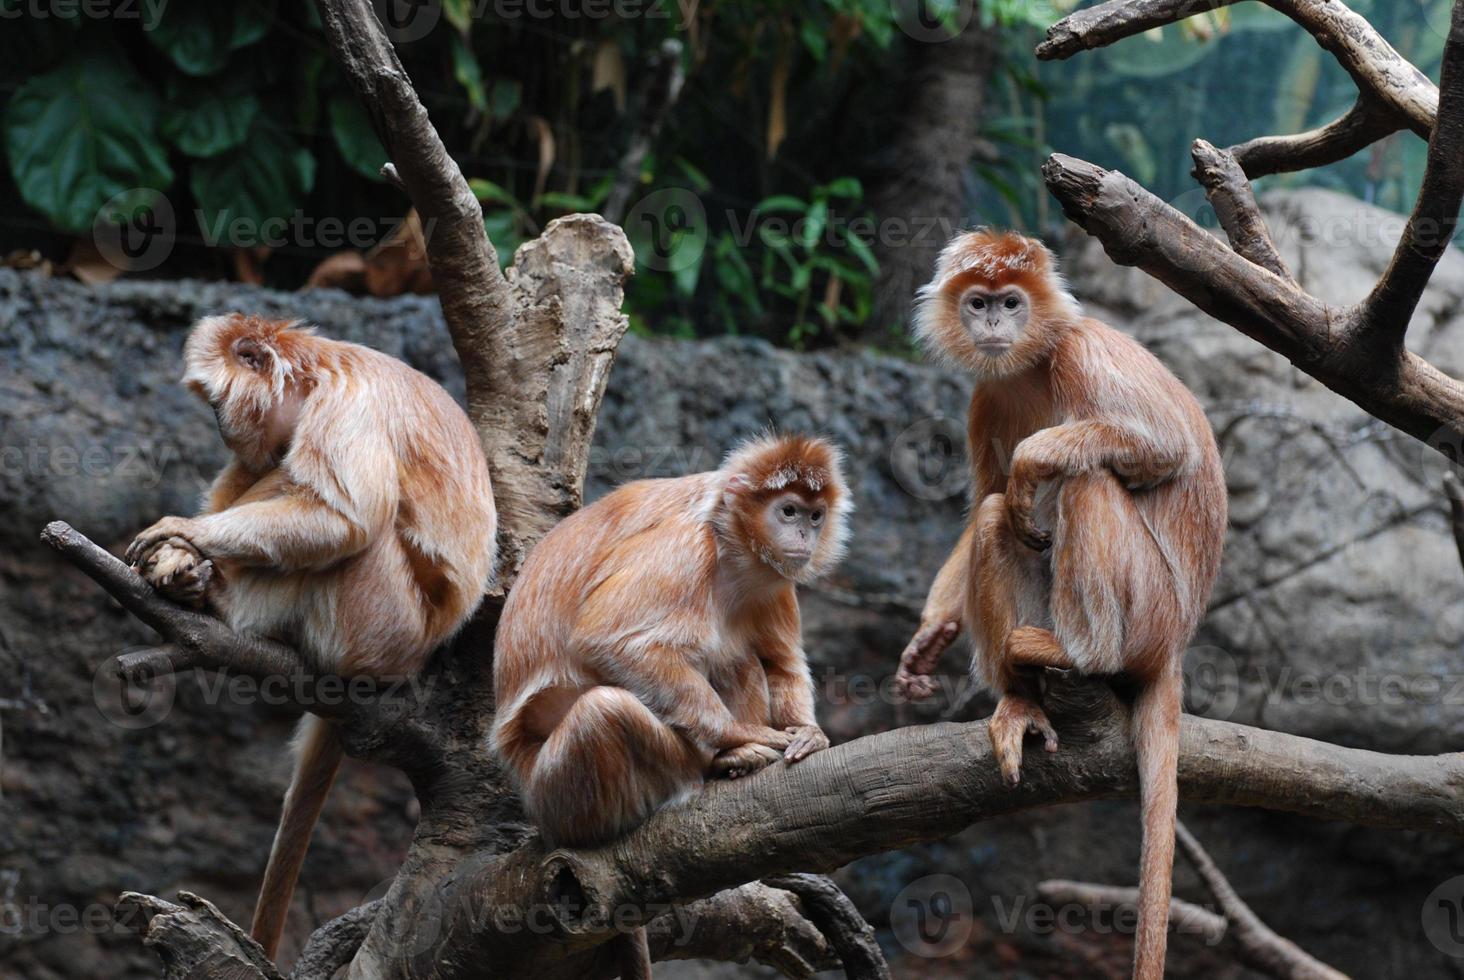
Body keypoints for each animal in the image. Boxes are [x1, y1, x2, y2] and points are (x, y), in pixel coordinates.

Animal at [124, 313, 497, 955]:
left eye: (217, 405)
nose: (219, 427)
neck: (319, 368)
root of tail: (420, 655)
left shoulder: (349, 407)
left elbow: (344, 519)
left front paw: (182, 535)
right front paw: (181, 551)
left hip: (376, 624)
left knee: (350, 527)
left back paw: (220, 599)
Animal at [895, 231, 1229, 978]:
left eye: (1012, 302)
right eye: (980, 302)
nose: (993, 323)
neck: (1029, 366)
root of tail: (1177, 644)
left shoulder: (1083, 349)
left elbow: (1163, 445)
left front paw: (1032, 460)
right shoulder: (987, 395)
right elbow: (986, 502)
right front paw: (931, 633)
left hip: (1151, 611)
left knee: (1088, 478)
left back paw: (1085, 653)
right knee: (999, 516)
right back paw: (1021, 698)